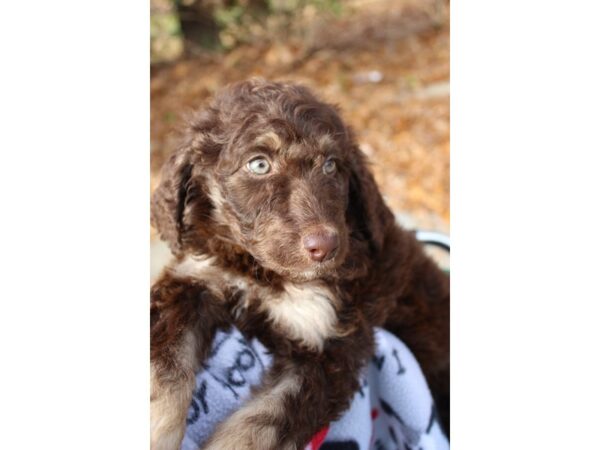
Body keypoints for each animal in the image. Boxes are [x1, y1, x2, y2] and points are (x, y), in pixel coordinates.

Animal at [150, 79, 450, 448]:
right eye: (259, 164)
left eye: (331, 165)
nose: (326, 247)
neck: (262, 272)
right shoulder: (195, 278)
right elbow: (165, 360)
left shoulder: (332, 347)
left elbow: (261, 423)